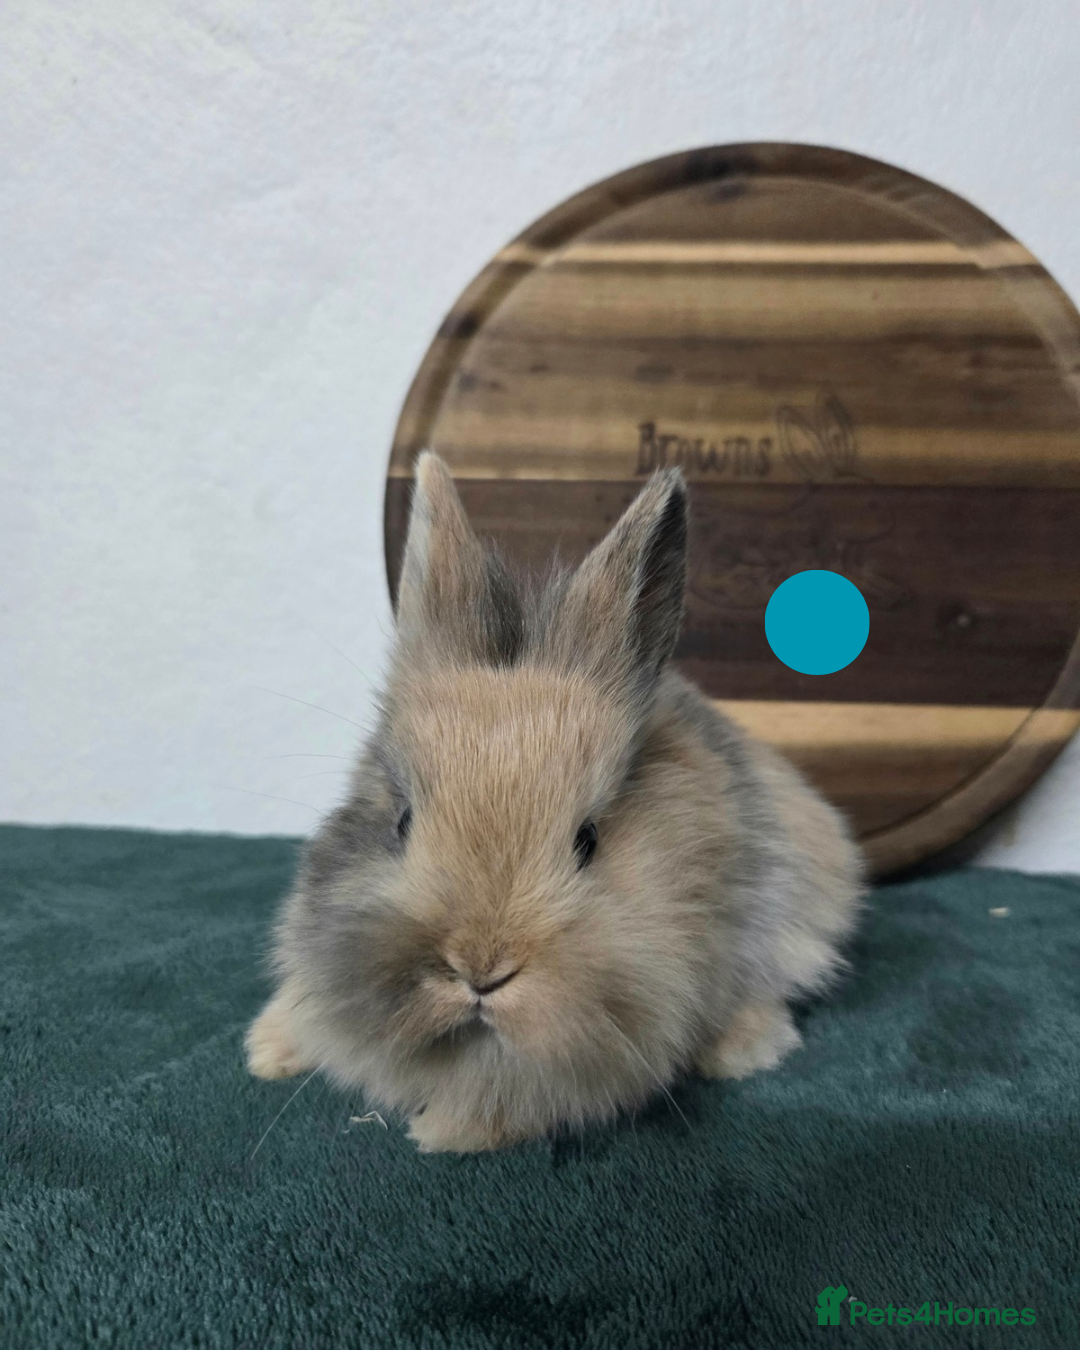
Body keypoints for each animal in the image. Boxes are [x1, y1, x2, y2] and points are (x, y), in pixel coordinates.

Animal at [246, 453, 864, 1152]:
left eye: (588, 840)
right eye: (402, 821)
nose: (481, 971)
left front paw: (443, 1131)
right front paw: (267, 1050)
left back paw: (743, 1049)